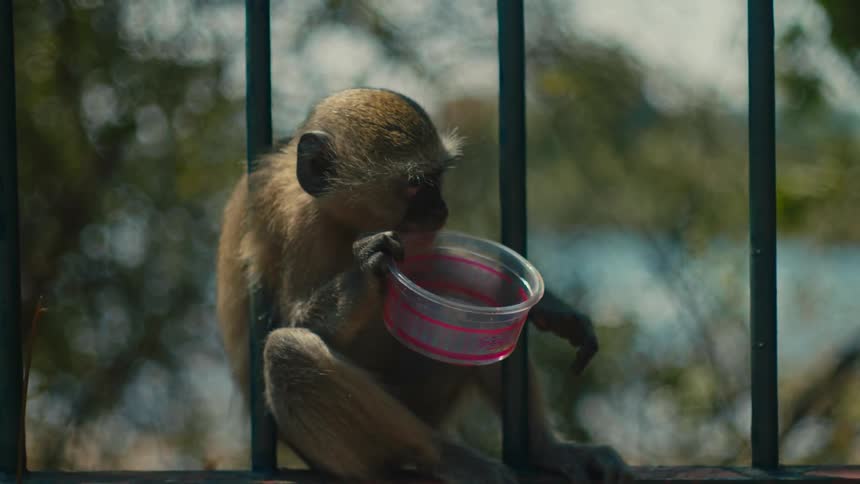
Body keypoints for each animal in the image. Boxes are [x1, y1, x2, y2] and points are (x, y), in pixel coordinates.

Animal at [216, 88, 633, 483]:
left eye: (438, 176)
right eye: (416, 185)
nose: (441, 208)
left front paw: (549, 307)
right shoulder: (303, 228)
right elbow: (293, 322)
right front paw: (369, 269)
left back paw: (544, 448)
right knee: (286, 352)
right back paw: (441, 455)